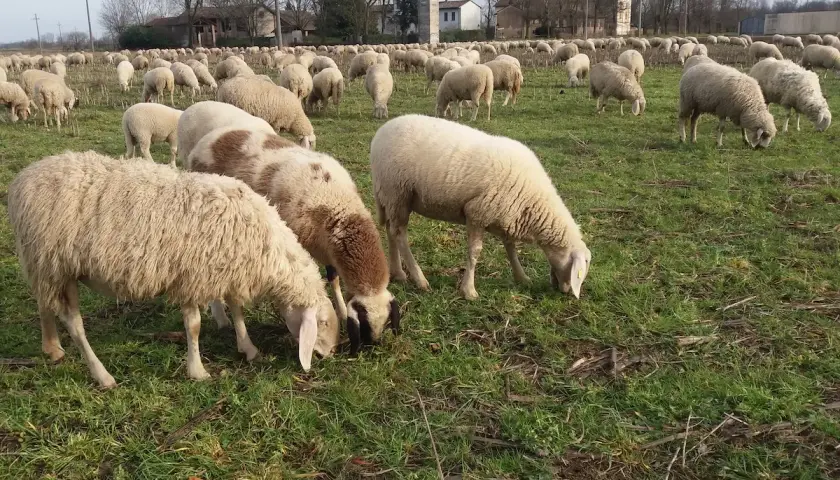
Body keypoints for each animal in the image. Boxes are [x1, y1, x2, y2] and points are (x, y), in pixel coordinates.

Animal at [7, 151, 334, 388]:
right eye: (323, 323)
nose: (329, 354)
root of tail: (23, 179)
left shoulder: (226, 270)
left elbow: (237, 309)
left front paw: (248, 348)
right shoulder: (192, 277)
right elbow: (194, 326)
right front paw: (197, 370)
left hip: (45, 265)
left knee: (44, 304)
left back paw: (52, 348)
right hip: (55, 264)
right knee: (74, 323)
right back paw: (102, 375)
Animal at [187, 127, 400, 353]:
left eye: (386, 322)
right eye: (364, 324)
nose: (372, 345)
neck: (336, 202)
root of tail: (210, 139)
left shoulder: (327, 249)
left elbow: (333, 279)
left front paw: (341, 310)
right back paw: (220, 317)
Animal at [370, 114, 592, 300]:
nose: (567, 293)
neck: (534, 202)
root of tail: (379, 133)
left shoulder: (506, 216)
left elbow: (510, 248)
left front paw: (521, 277)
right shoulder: (477, 213)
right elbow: (475, 252)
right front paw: (469, 290)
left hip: (391, 197)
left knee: (391, 230)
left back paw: (398, 273)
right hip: (397, 192)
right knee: (400, 234)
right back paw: (420, 279)